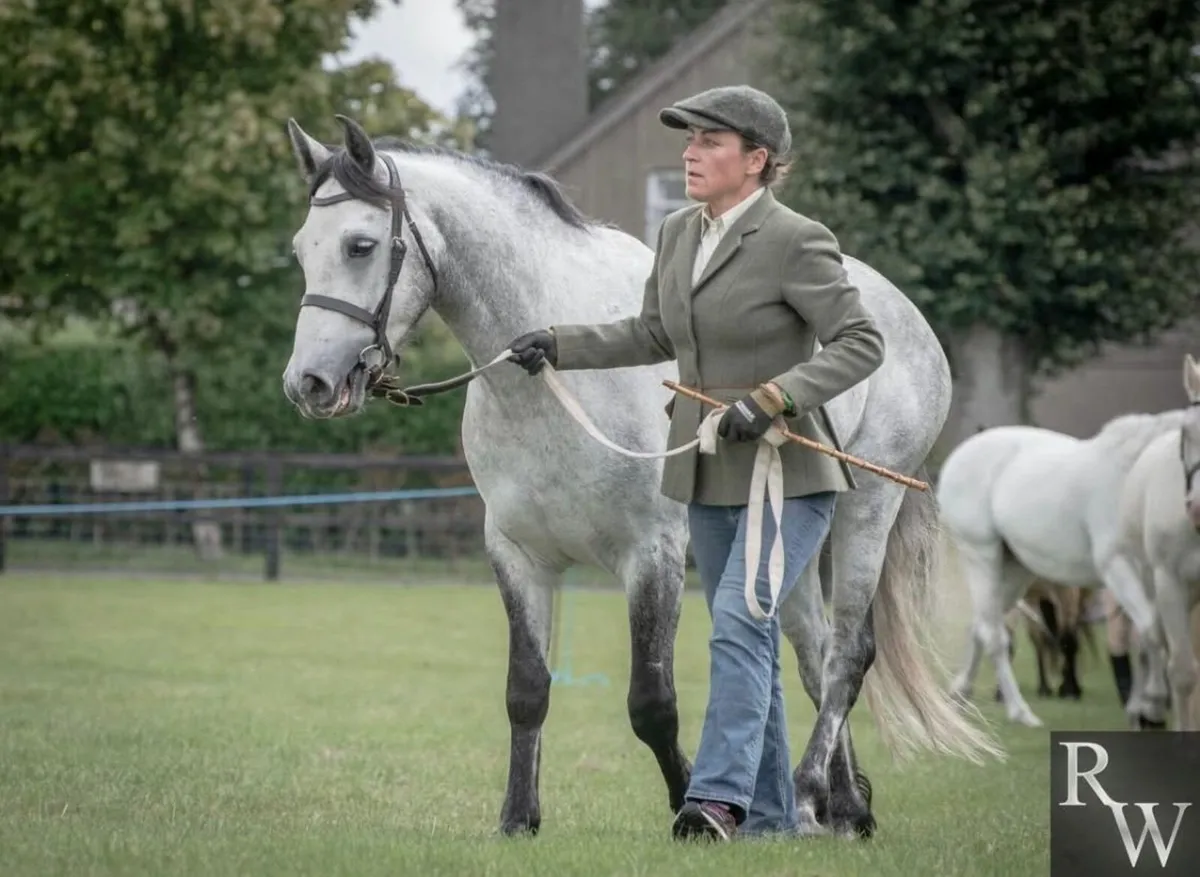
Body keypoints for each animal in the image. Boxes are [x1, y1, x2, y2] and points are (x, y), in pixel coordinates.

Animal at [937, 401, 1193, 729]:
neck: (1138, 476)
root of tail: (962, 453)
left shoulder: (1159, 579)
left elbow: (1149, 640)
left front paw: (1141, 709)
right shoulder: (1119, 566)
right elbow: (1150, 630)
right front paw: (1152, 705)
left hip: (1015, 571)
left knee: (981, 625)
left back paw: (959, 696)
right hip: (981, 556)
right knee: (994, 635)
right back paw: (1020, 712)